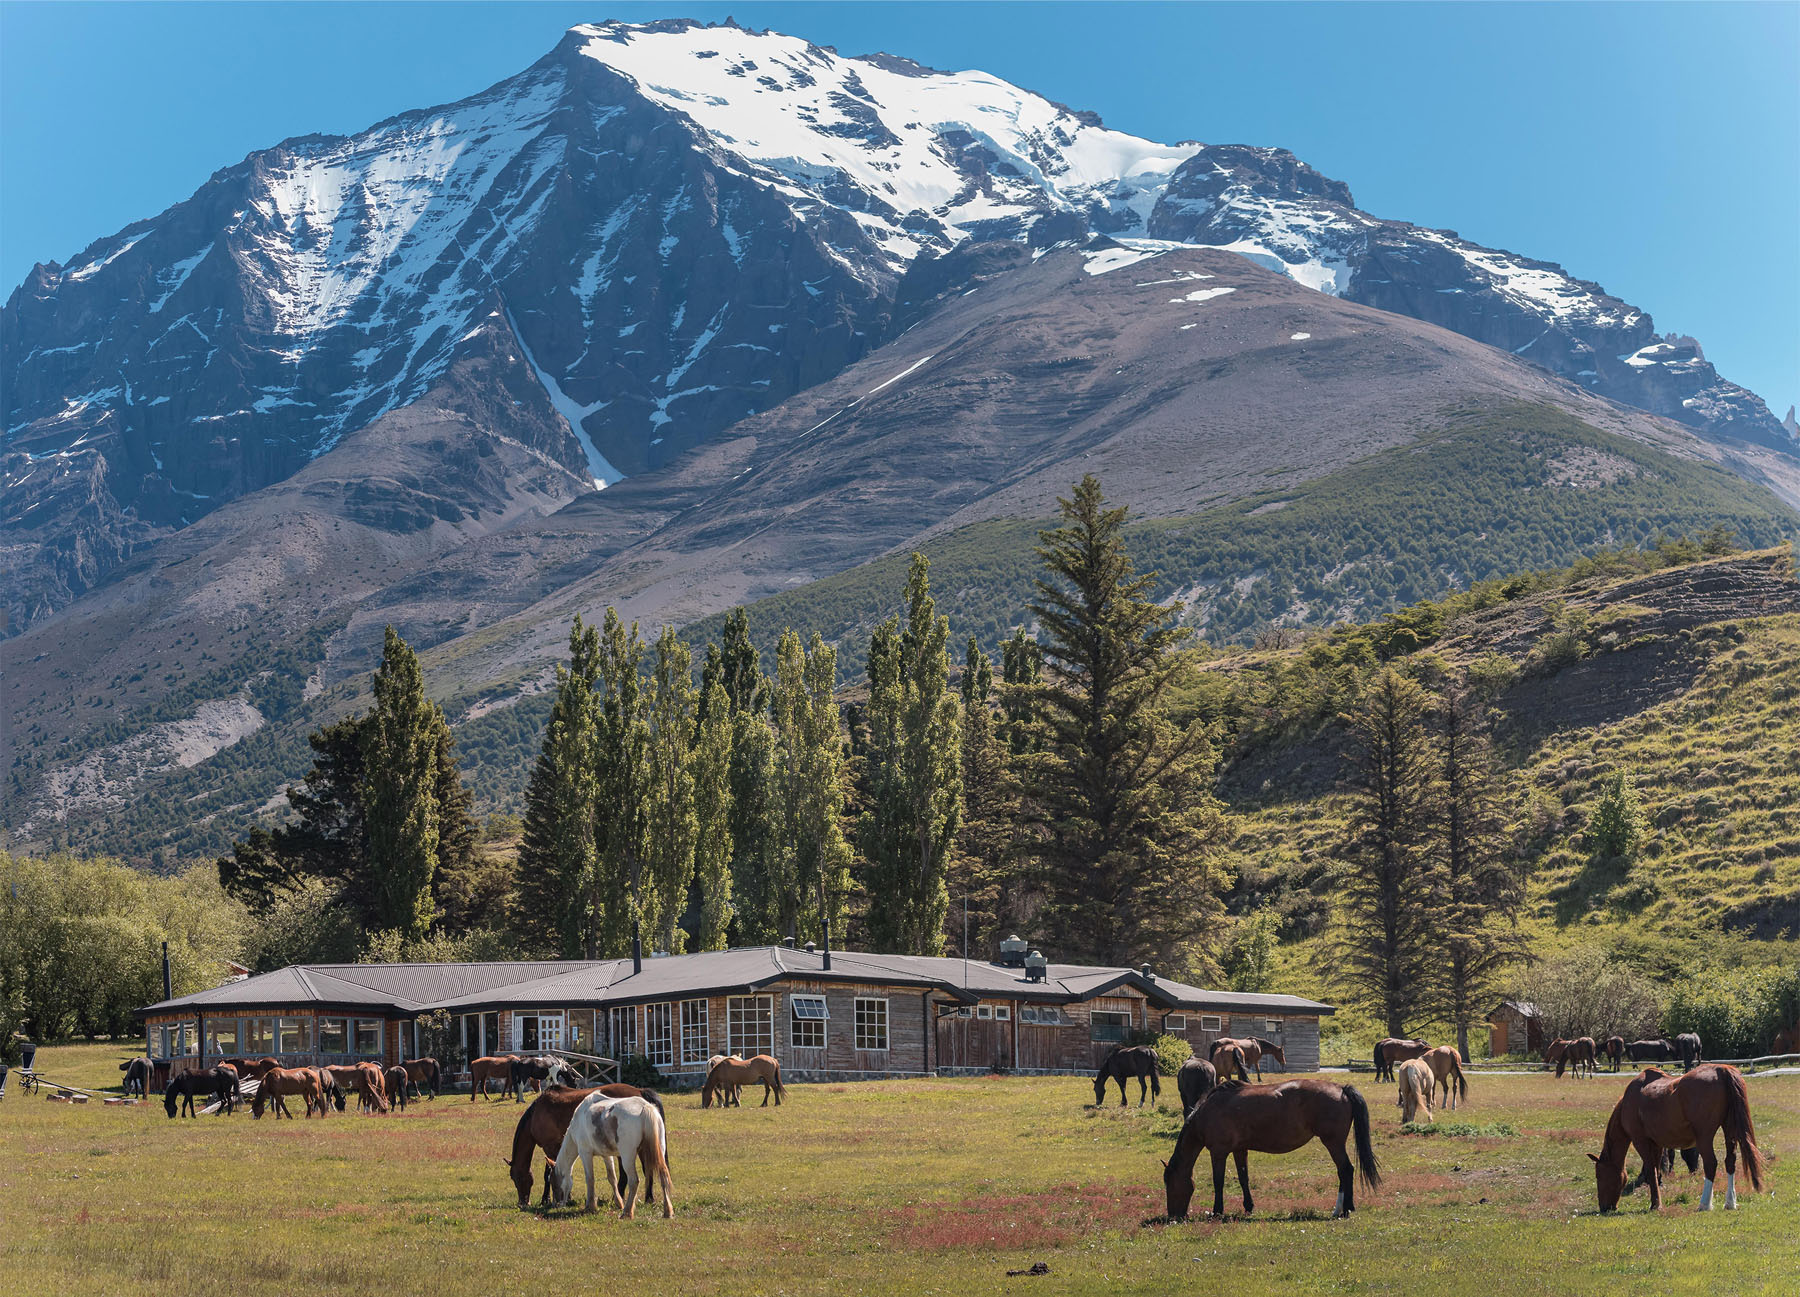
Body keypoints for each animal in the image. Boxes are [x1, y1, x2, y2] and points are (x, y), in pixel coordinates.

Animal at [504, 1083, 669, 1209]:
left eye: (516, 1177)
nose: (522, 1203)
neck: (537, 1113)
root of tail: (640, 1092)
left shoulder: (549, 1147)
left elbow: (548, 1174)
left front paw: (547, 1199)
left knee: (639, 1172)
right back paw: (643, 1198)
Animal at [1163, 1079, 1381, 1220]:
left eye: (1170, 1184)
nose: (1173, 1216)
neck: (1208, 1111)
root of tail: (1341, 1089)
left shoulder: (1218, 1152)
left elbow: (1218, 1182)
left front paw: (1217, 1211)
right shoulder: (1239, 1150)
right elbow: (1243, 1178)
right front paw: (1248, 1207)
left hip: (1333, 1143)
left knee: (1345, 1170)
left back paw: (1344, 1210)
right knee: (1344, 1172)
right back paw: (1342, 1209)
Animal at [1590, 1065, 1764, 1212]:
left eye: (1599, 1175)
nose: (1604, 1207)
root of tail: (1720, 1069)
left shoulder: (1641, 1141)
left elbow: (1650, 1169)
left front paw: (1655, 1204)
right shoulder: (1657, 1144)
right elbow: (1656, 1169)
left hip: (1704, 1136)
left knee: (1710, 1164)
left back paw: (1704, 1204)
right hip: (1729, 1130)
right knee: (1730, 1161)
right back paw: (1730, 1202)